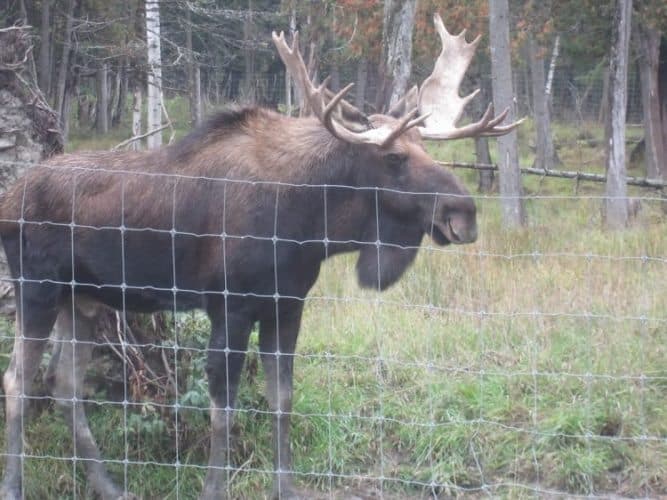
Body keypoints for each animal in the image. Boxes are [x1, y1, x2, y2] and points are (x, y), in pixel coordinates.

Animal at [0, 14, 520, 500]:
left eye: (424, 149)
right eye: (395, 158)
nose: (464, 212)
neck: (311, 227)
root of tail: (9, 199)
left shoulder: (287, 306)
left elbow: (281, 400)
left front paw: (285, 486)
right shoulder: (229, 308)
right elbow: (223, 413)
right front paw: (214, 488)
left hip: (82, 301)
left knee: (65, 384)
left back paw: (108, 484)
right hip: (37, 290)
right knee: (17, 382)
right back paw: (16, 483)